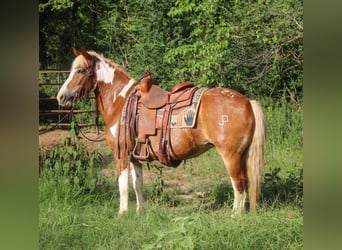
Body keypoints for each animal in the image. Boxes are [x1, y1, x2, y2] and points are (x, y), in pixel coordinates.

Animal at [56, 47, 268, 216]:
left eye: (80, 71)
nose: (60, 97)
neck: (121, 103)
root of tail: (247, 101)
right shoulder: (135, 156)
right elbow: (138, 184)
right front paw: (139, 212)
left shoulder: (121, 153)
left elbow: (122, 185)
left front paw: (122, 214)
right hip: (242, 155)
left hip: (230, 156)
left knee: (239, 185)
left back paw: (234, 216)